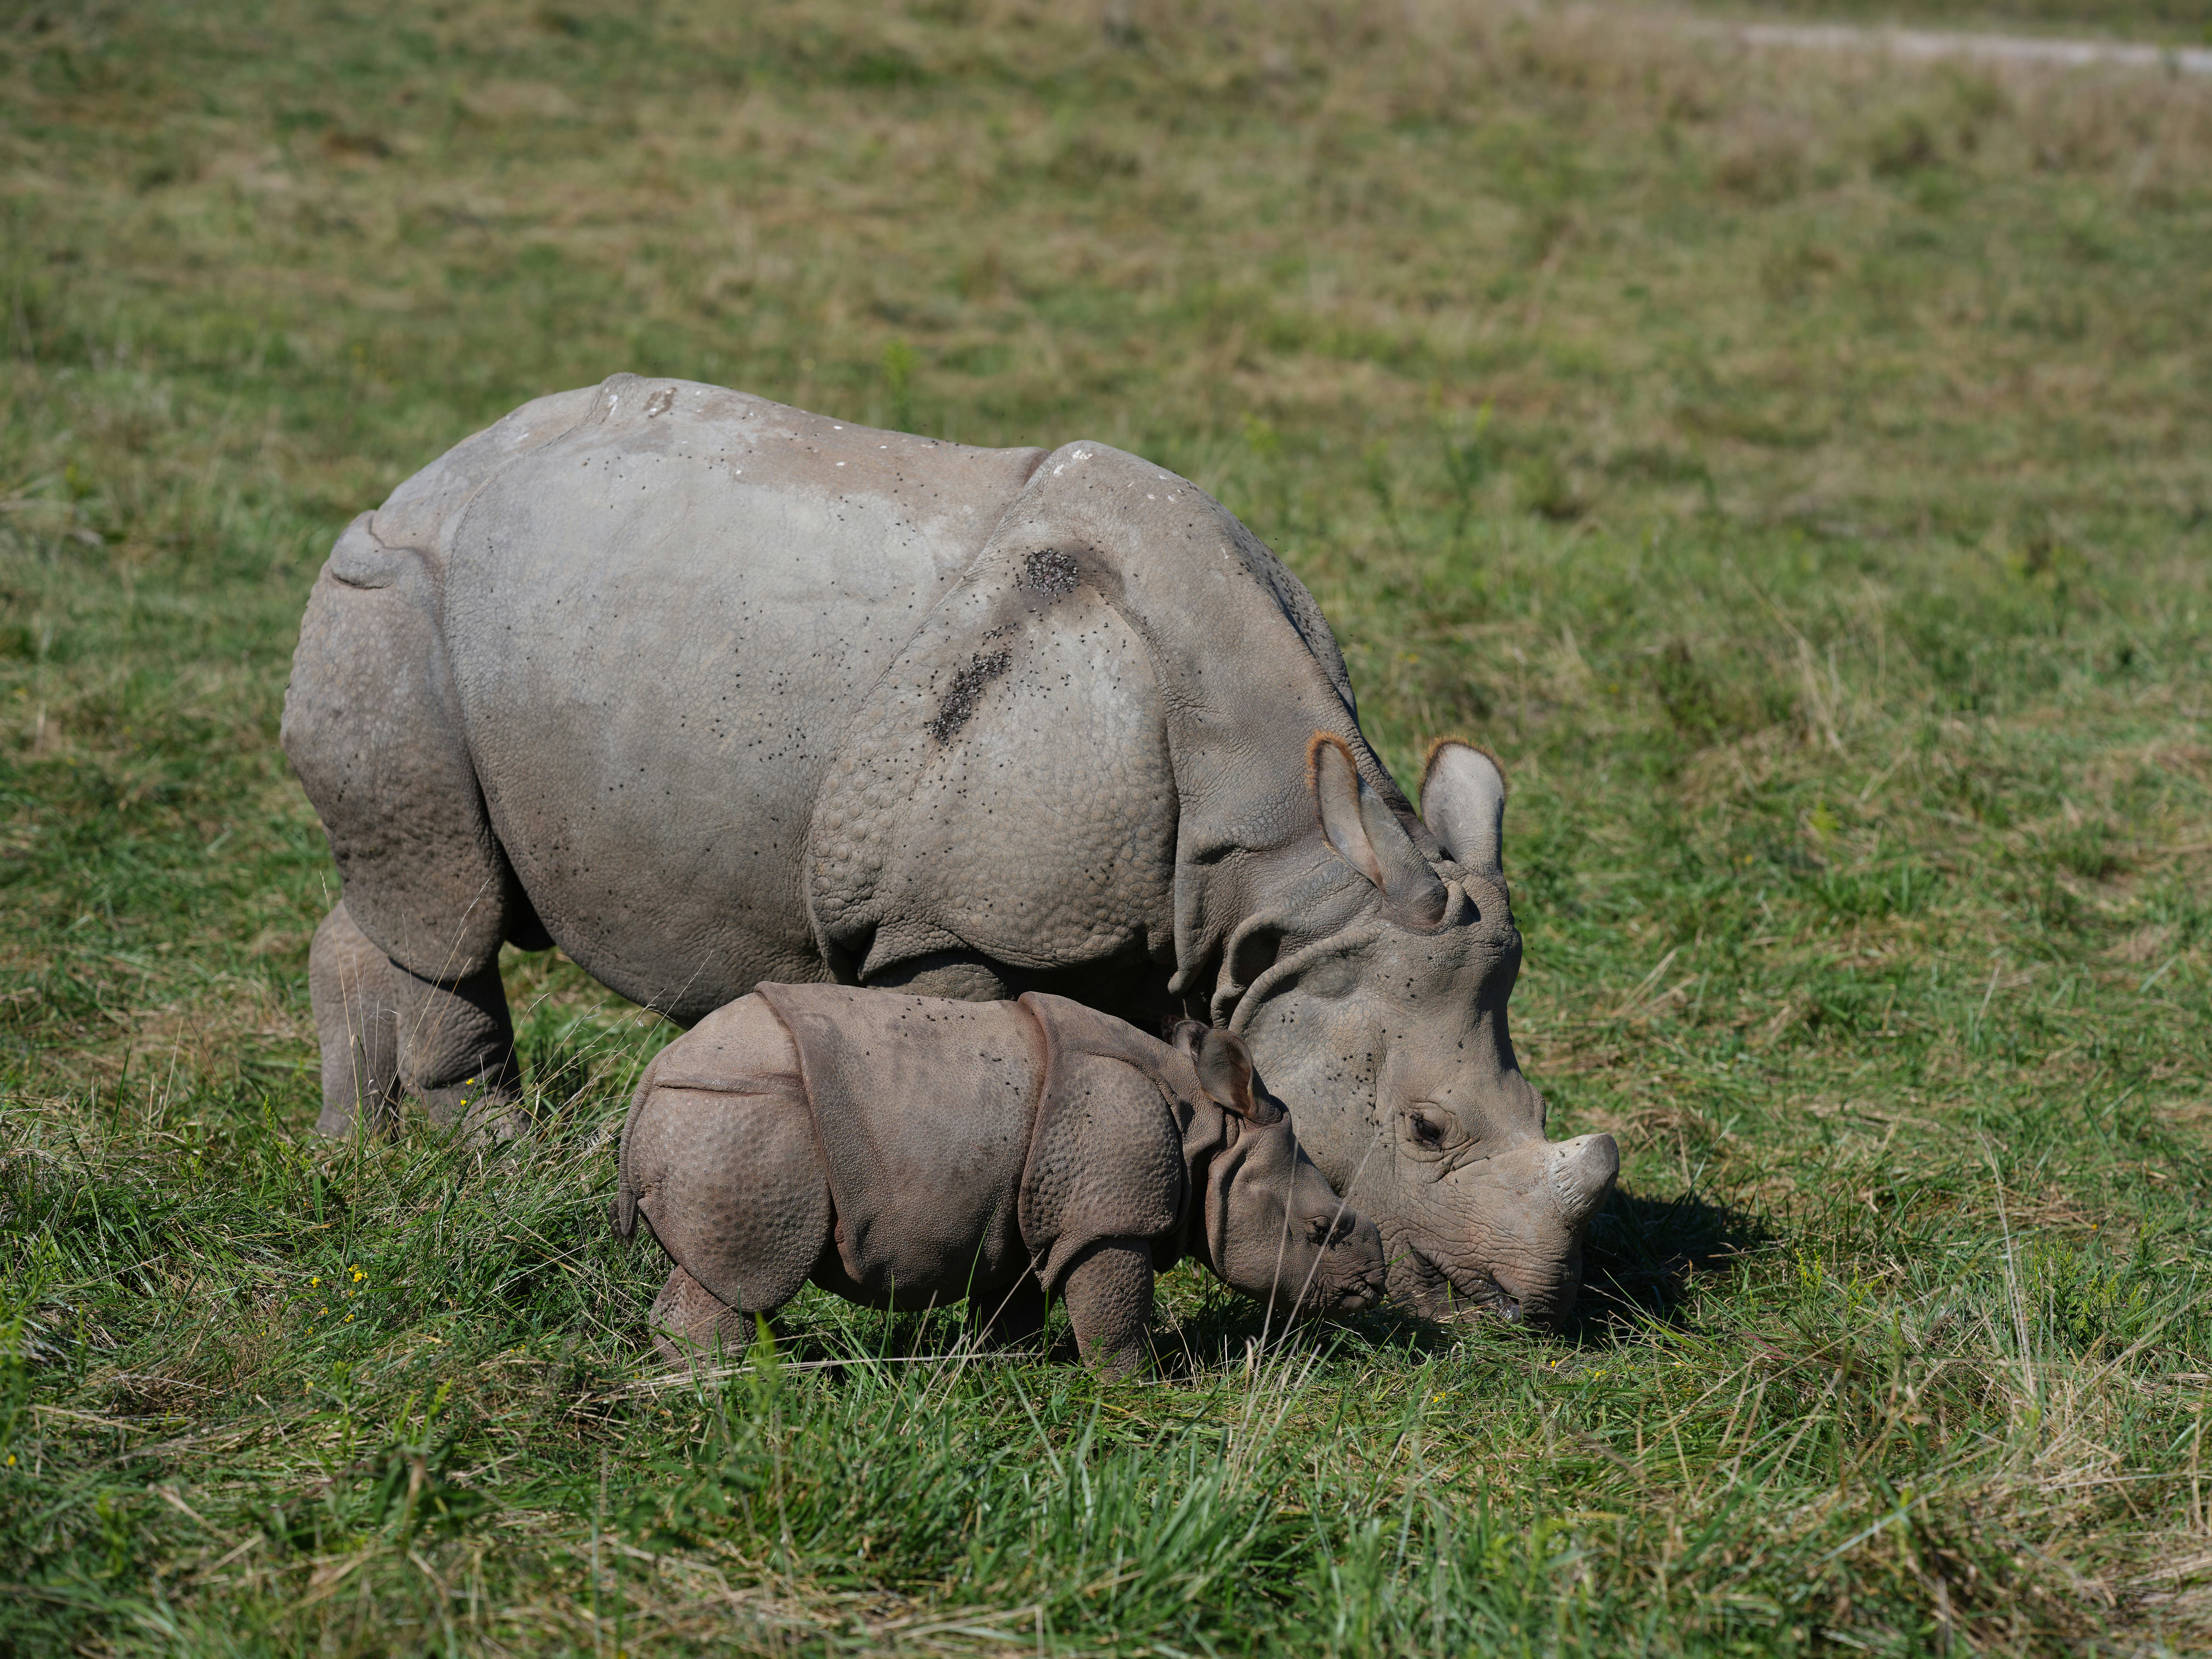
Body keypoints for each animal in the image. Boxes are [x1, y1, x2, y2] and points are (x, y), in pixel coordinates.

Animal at [283, 374, 1618, 1327]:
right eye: (1427, 1131)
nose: (1528, 1308)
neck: (1287, 886)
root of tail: (427, 472)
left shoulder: (1124, 914)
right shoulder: (948, 921)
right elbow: (974, 1063)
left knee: (405, 894)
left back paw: (358, 1157)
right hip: (391, 593)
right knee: (449, 903)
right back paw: (497, 1165)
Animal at [612, 985, 1386, 1374]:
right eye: (1321, 1229)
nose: (1371, 1289)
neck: (1210, 1132)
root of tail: (650, 1086)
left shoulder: (1026, 1209)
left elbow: (1009, 1302)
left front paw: (1001, 1368)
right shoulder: (1107, 1218)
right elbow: (1115, 1309)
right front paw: (1138, 1386)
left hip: (722, 1119)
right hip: (745, 1121)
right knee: (747, 1276)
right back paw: (725, 1388)